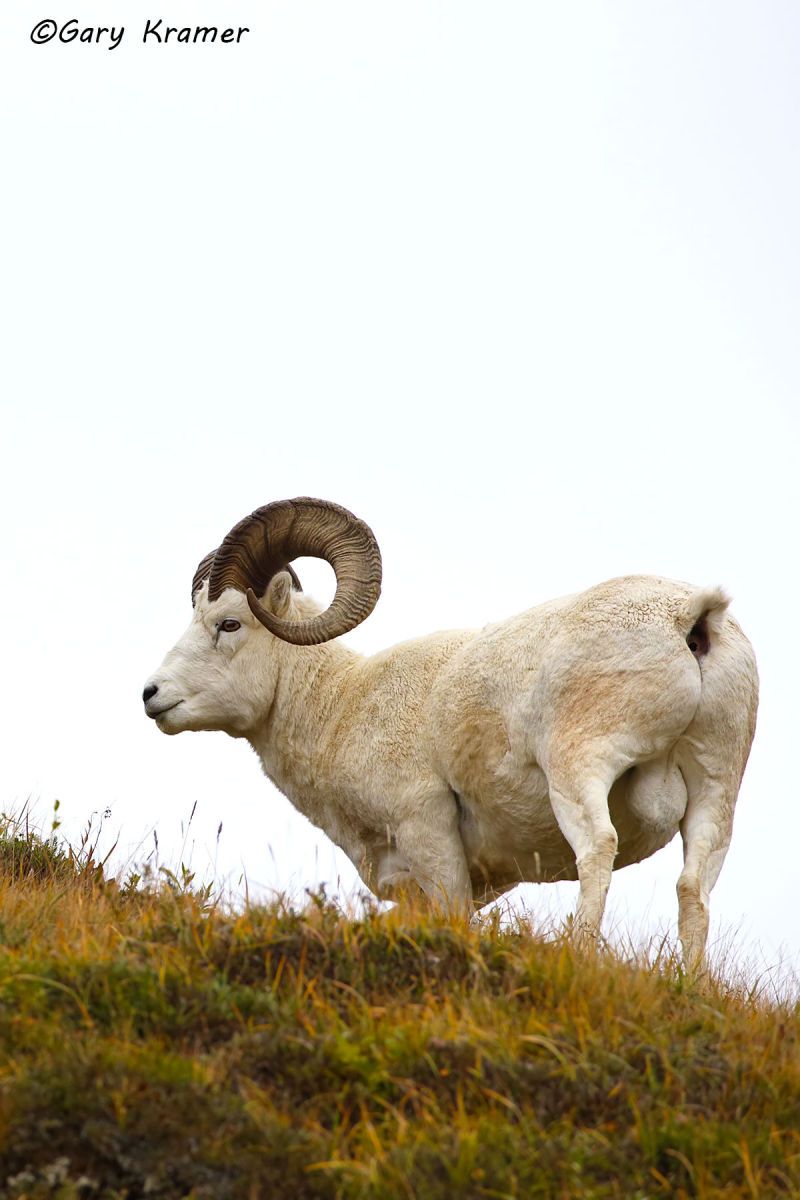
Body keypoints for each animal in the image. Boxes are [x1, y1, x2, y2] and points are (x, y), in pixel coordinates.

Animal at [143, 497, 758, 966]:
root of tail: (689, 618)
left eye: (229, 623)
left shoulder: (429, 835)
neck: (343, 705)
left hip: (581, 769)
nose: (152, 695)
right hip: (716, 789)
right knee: (693, 889)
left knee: (597, 851)